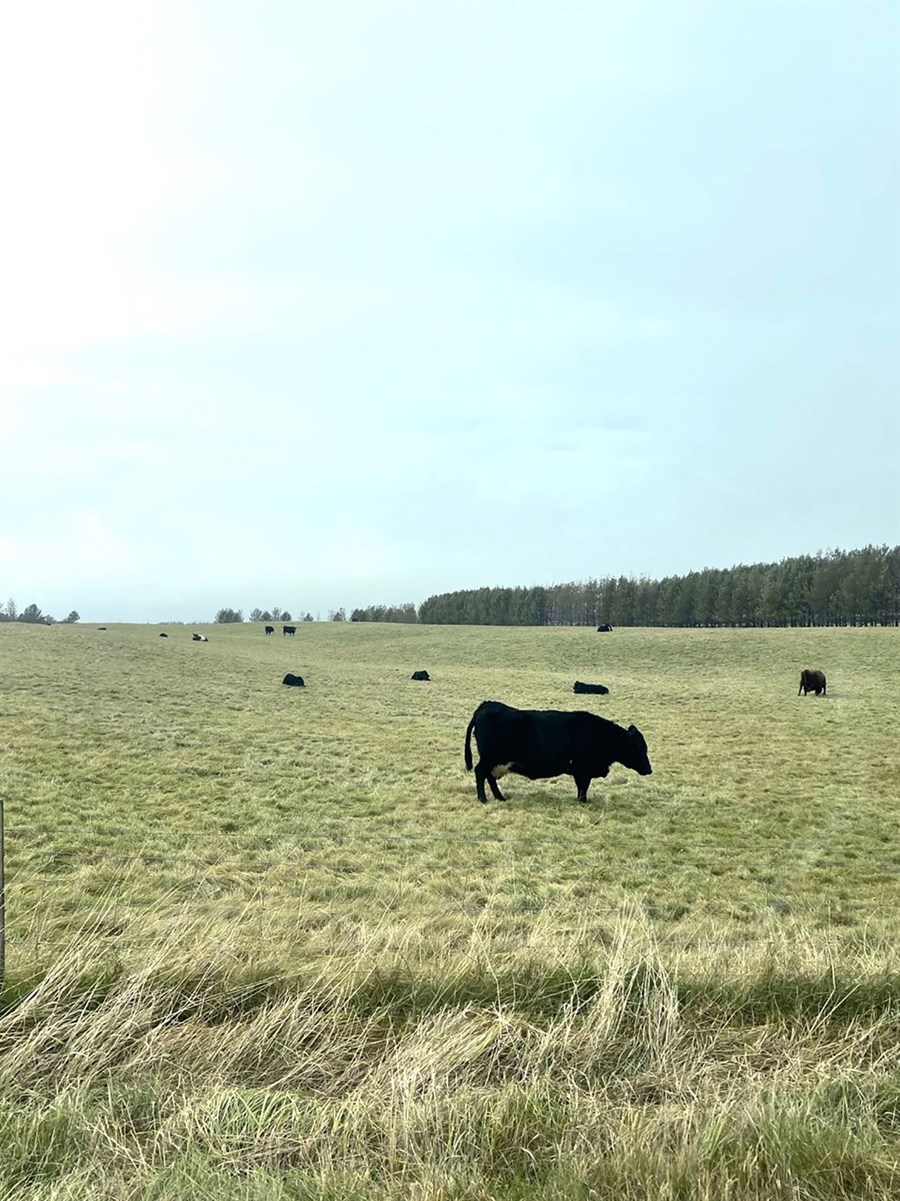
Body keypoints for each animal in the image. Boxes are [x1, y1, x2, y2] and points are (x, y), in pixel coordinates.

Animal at [466, 701, 648, 802]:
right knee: (480, 772)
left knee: (489, 777)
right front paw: (583, 801)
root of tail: (485, 705)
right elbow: (583, 786)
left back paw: (500, 797)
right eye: (640, 748)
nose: (649, 769)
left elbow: (581, 786)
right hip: (490, 758)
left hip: (495, 761)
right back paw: (483, 799)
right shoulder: (583, 769)